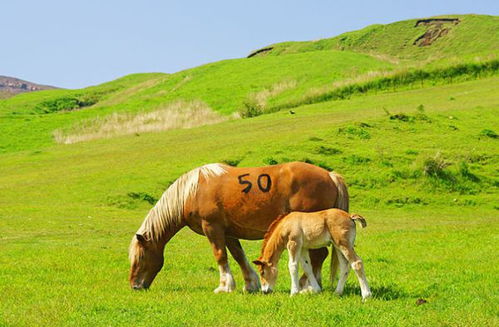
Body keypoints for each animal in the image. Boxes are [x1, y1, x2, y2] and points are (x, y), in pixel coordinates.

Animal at [129, 163, 348, 294]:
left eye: (140, 257)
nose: (135, 286)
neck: (192, 191)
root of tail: (330, 175)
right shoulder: (228, 233)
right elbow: (238, 256)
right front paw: (250, 284)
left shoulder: (212, 228)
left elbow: (220, 256)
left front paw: (224, 286)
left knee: (319, 255)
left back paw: (307, 285)